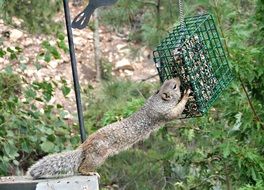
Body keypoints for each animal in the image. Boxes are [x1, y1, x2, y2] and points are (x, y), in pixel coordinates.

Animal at [26, 78, 191, 179]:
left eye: (169, 81)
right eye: (174, 86)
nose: (177, 78)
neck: (157, 100)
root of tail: (84, 147)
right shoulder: (164, 114)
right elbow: (176, 111)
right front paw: (186, 95)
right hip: (98, 155)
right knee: (82, 167)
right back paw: (89, 172)